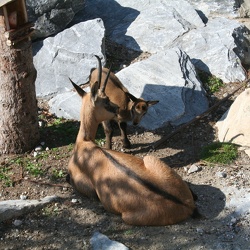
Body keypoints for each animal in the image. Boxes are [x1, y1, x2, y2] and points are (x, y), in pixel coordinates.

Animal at [67, 55, 199, 226]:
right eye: (107, 102)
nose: (117, 109)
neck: (85, 143)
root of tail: (187, 205)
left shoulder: (83, 185)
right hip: (151, 159)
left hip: (128, 217)